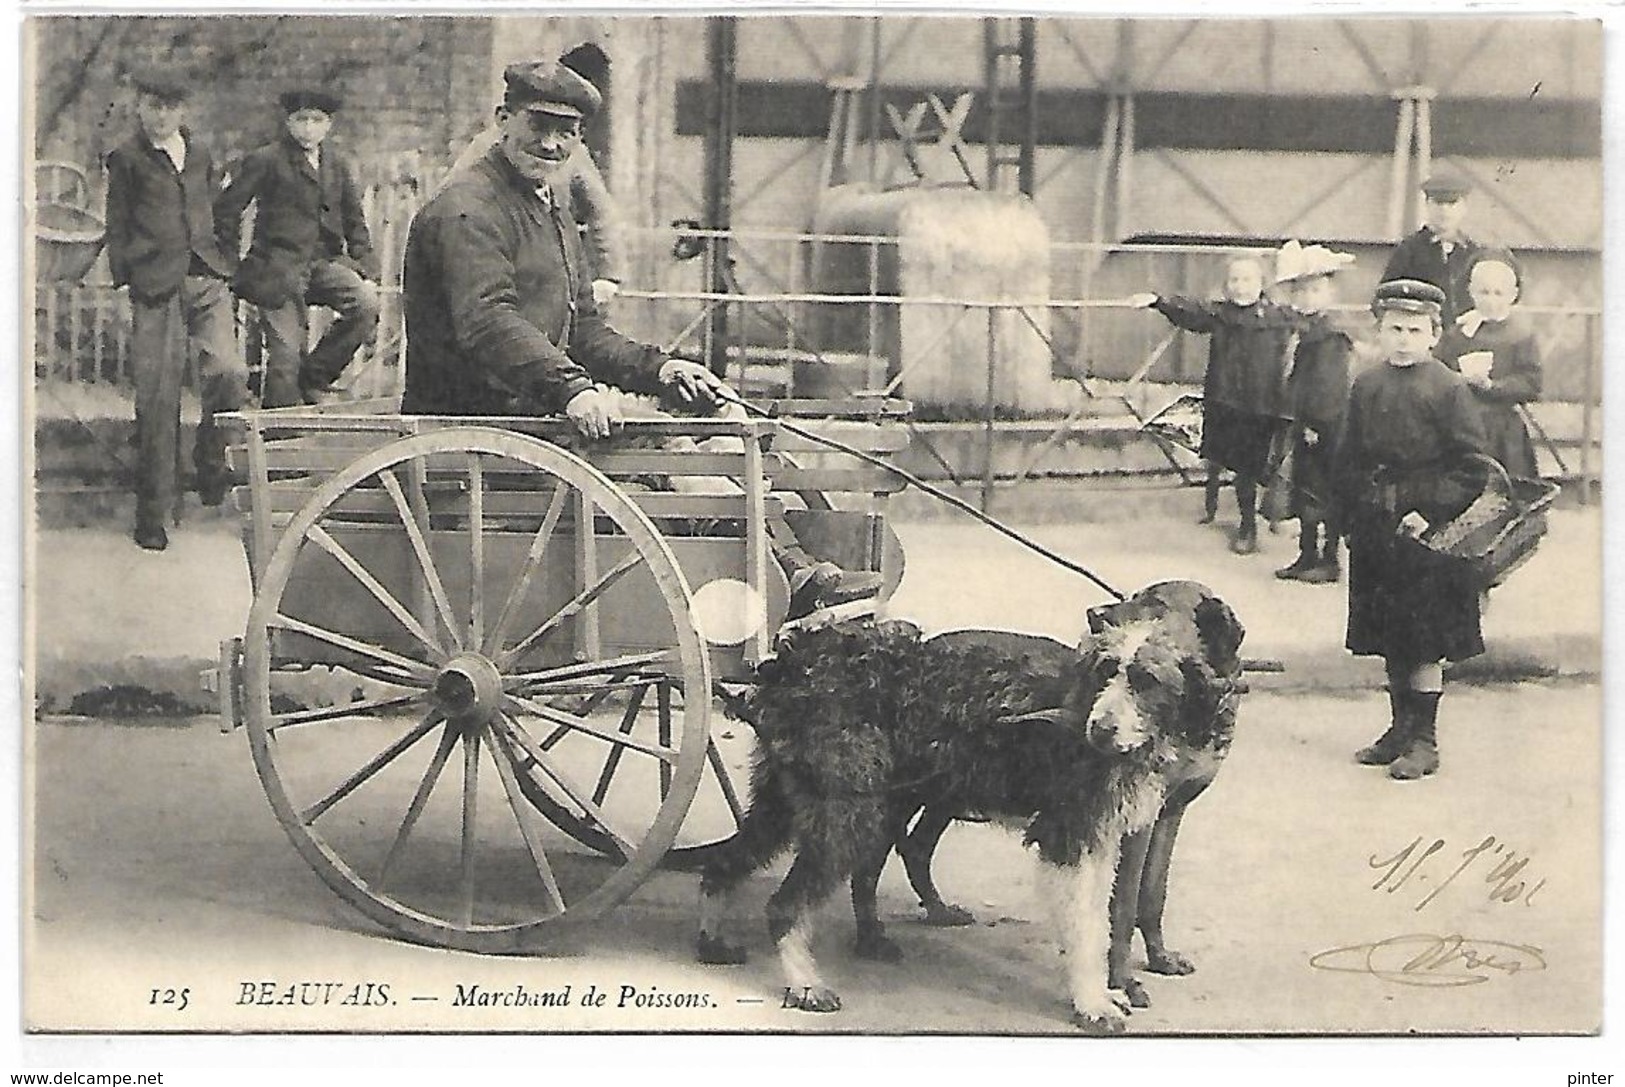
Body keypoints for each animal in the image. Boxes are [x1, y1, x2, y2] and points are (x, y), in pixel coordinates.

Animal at [692, 581, 1235, 1033]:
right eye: (1108, 673)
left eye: (1147, 681)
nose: (1099, 730)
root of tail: (795, 662)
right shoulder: (1068, 837)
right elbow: (1085, 930)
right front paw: (1092, 1003)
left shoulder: (1098, 839)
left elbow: (1101, 923)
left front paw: (1102, 990)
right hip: (848, 815)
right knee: (785, 904)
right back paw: (805, 983)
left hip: (789, 803)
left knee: (724, 862)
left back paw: (712, 939)